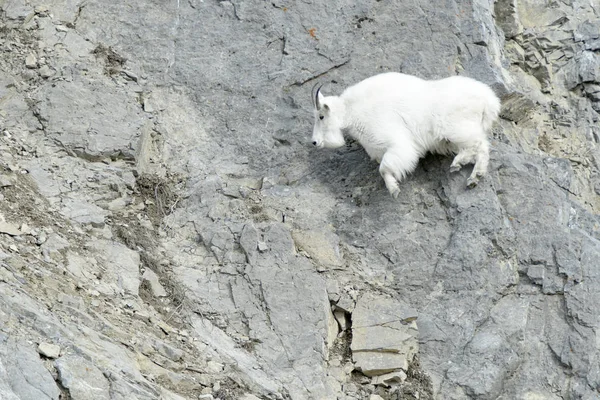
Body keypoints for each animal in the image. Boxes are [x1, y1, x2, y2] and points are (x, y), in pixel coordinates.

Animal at [310, 72, 502, 198]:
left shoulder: (397, 144)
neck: (352, 111)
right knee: (478, 148)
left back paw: (466, 169)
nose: (314, 142)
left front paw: (393, 189)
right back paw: (468, 173)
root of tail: (489, 101)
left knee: (479, 145)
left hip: (458, 129)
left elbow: (384, 168)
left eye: (321, 116)